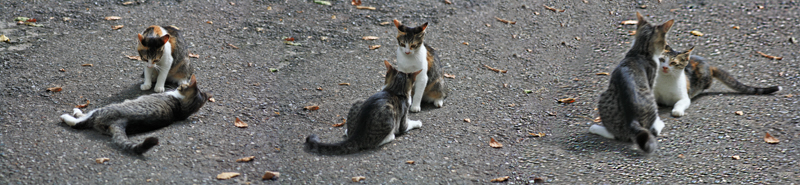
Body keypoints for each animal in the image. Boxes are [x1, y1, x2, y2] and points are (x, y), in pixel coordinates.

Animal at [59, 75, 209, 155]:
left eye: (182, 86)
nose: (176, 86)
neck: (181, 106)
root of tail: (122, 122)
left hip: (106, 109)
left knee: (81, 122)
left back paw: (71, 115)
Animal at [588, 12, 676, 153]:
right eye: (665, 42)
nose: (667, 47)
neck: (640, 50)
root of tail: (632, 119)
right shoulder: (651, 79)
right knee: (647, 131)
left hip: (604, 98)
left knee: (617, 133)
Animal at [652, 45, 780, 116]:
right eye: (662, 60)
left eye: (673, 63)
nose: (664, 67)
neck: (666, 80)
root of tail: (709, 65)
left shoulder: (684, 96)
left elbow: (680, 103)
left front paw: (677, 111)